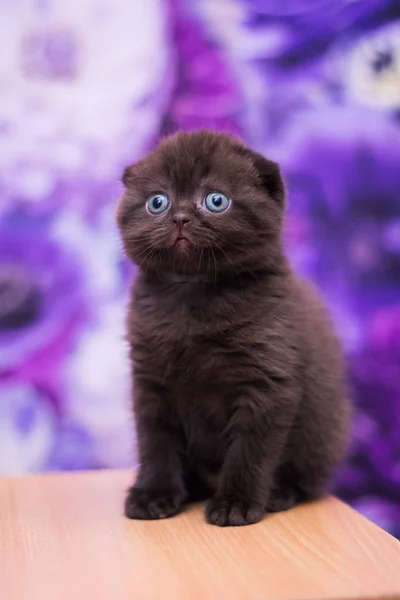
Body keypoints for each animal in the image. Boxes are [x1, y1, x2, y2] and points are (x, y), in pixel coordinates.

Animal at [116, 130, 350, 524]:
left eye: (216, 200)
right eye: (157, 202)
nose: (180, 218)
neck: (194, 293)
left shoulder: (266, 382)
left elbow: (250, 449)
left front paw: (235, 503)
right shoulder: (151, 383)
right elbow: (156, 443)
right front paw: (154, 495)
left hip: (321, 434)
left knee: (305, 480)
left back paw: (279, 494)